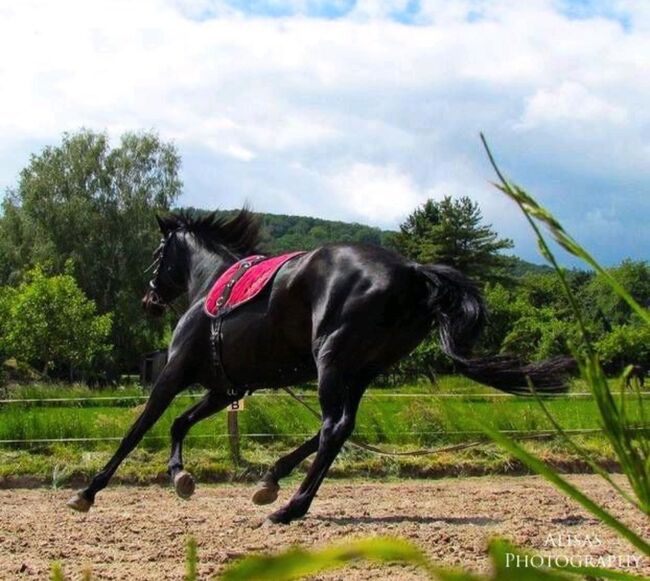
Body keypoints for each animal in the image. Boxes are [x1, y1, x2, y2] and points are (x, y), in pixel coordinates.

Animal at [68, 211, 568, 524]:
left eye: (158, 256)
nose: (148, 300)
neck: (211, 287)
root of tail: (410, 270)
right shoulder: (224, 389)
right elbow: (178, 424)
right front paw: (181, 477)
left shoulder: (175, 376)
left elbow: (139, 428)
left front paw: (88, 492)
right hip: (360, 371)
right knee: (340, 427)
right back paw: (272, 482)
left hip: (332, 359)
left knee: (333, 427)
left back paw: (290, 507)